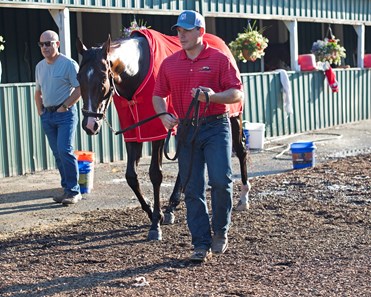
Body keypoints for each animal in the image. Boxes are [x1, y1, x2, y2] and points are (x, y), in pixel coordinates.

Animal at [75, 28, 250, 240]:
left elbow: (155, 174)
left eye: (102, 81)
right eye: (79, 78)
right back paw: (171, 207)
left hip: (233, 115)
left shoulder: (157, 132)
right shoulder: (134, 133)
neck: (136, 70)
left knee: (240, 150)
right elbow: (131, 176)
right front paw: (152, 212)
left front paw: (155, 225)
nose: (89, 125)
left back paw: (243, 198)